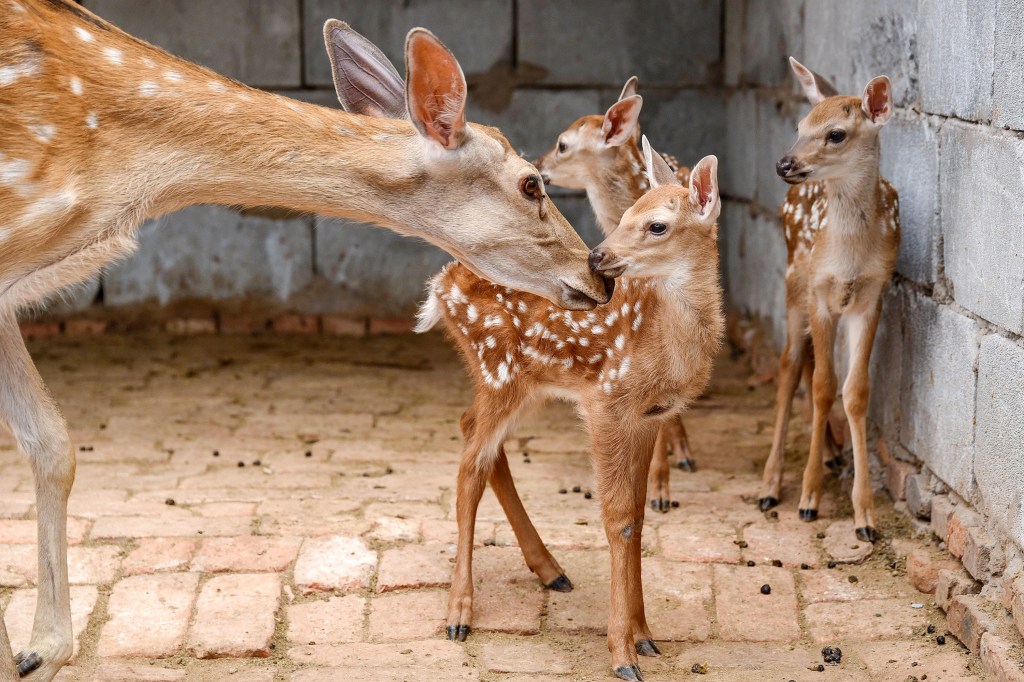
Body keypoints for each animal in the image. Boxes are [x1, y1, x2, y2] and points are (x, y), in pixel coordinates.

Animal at [419, 140, 724, 675]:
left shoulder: (649, 416)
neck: (667, 345)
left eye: (657, 225)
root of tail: (440, 287)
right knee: (469, 466)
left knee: (474, 433)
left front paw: (645, 636)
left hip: (523, 382)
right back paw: (459, 613)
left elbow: (637, 516)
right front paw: (623, 653)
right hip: (498, 368)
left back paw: (550, 570)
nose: (598, 257)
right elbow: (617, 518)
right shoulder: (607, 401)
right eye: (625, 212)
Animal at [757, 55, 901, 540]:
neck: (850, 257)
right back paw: (770, 485)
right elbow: (822, 386)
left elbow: (854, 391)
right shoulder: (819, 291)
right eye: (800, 124)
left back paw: (834, 453)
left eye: (836, 133)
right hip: (793, 282)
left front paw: (865, 516)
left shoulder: (872, 295)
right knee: (789, 366)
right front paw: (808, 497)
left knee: (806, 363)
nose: (783, 162)